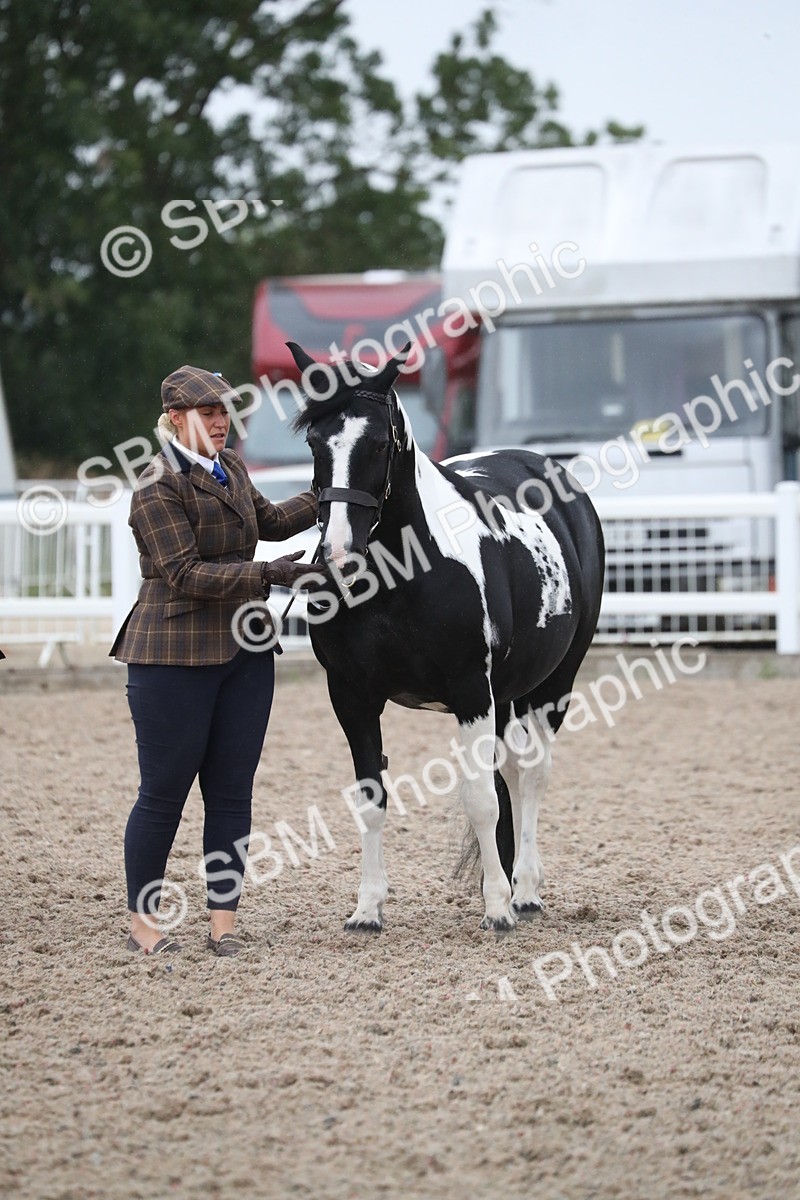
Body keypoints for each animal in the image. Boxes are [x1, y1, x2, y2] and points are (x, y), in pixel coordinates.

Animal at [286, 340, 605, 933]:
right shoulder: (351, 696)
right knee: (511, 772)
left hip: (554, 683)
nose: (339, 553)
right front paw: (367, 908)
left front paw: (498, 908)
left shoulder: (470, 690)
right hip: (507, 693)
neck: (403, 573)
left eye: (378, 441)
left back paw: (525, 890)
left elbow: (480, 799)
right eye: (315, 442)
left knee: (533, 775)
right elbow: (372, 800)